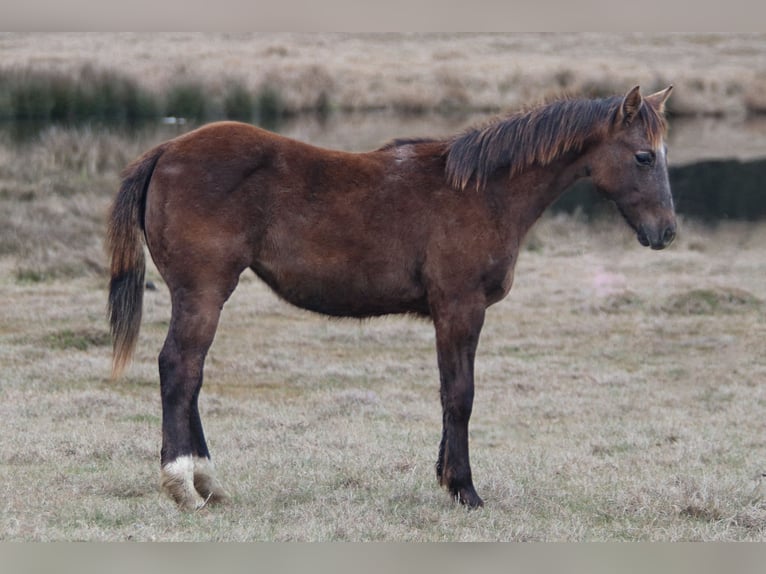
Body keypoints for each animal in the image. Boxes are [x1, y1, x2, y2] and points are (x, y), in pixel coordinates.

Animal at [109, 85, 680, 512]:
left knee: (190, 376)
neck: (482, 192)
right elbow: (460, 396)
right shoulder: (460, 309)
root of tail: (165, 151)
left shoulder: (452, 315)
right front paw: (465, 489)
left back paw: (209, 481)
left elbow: (449, 394)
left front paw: (447, 478)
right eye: (644, 156)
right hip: (203, 293)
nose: (667, 232)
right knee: (179, 369)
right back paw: (184, 485)